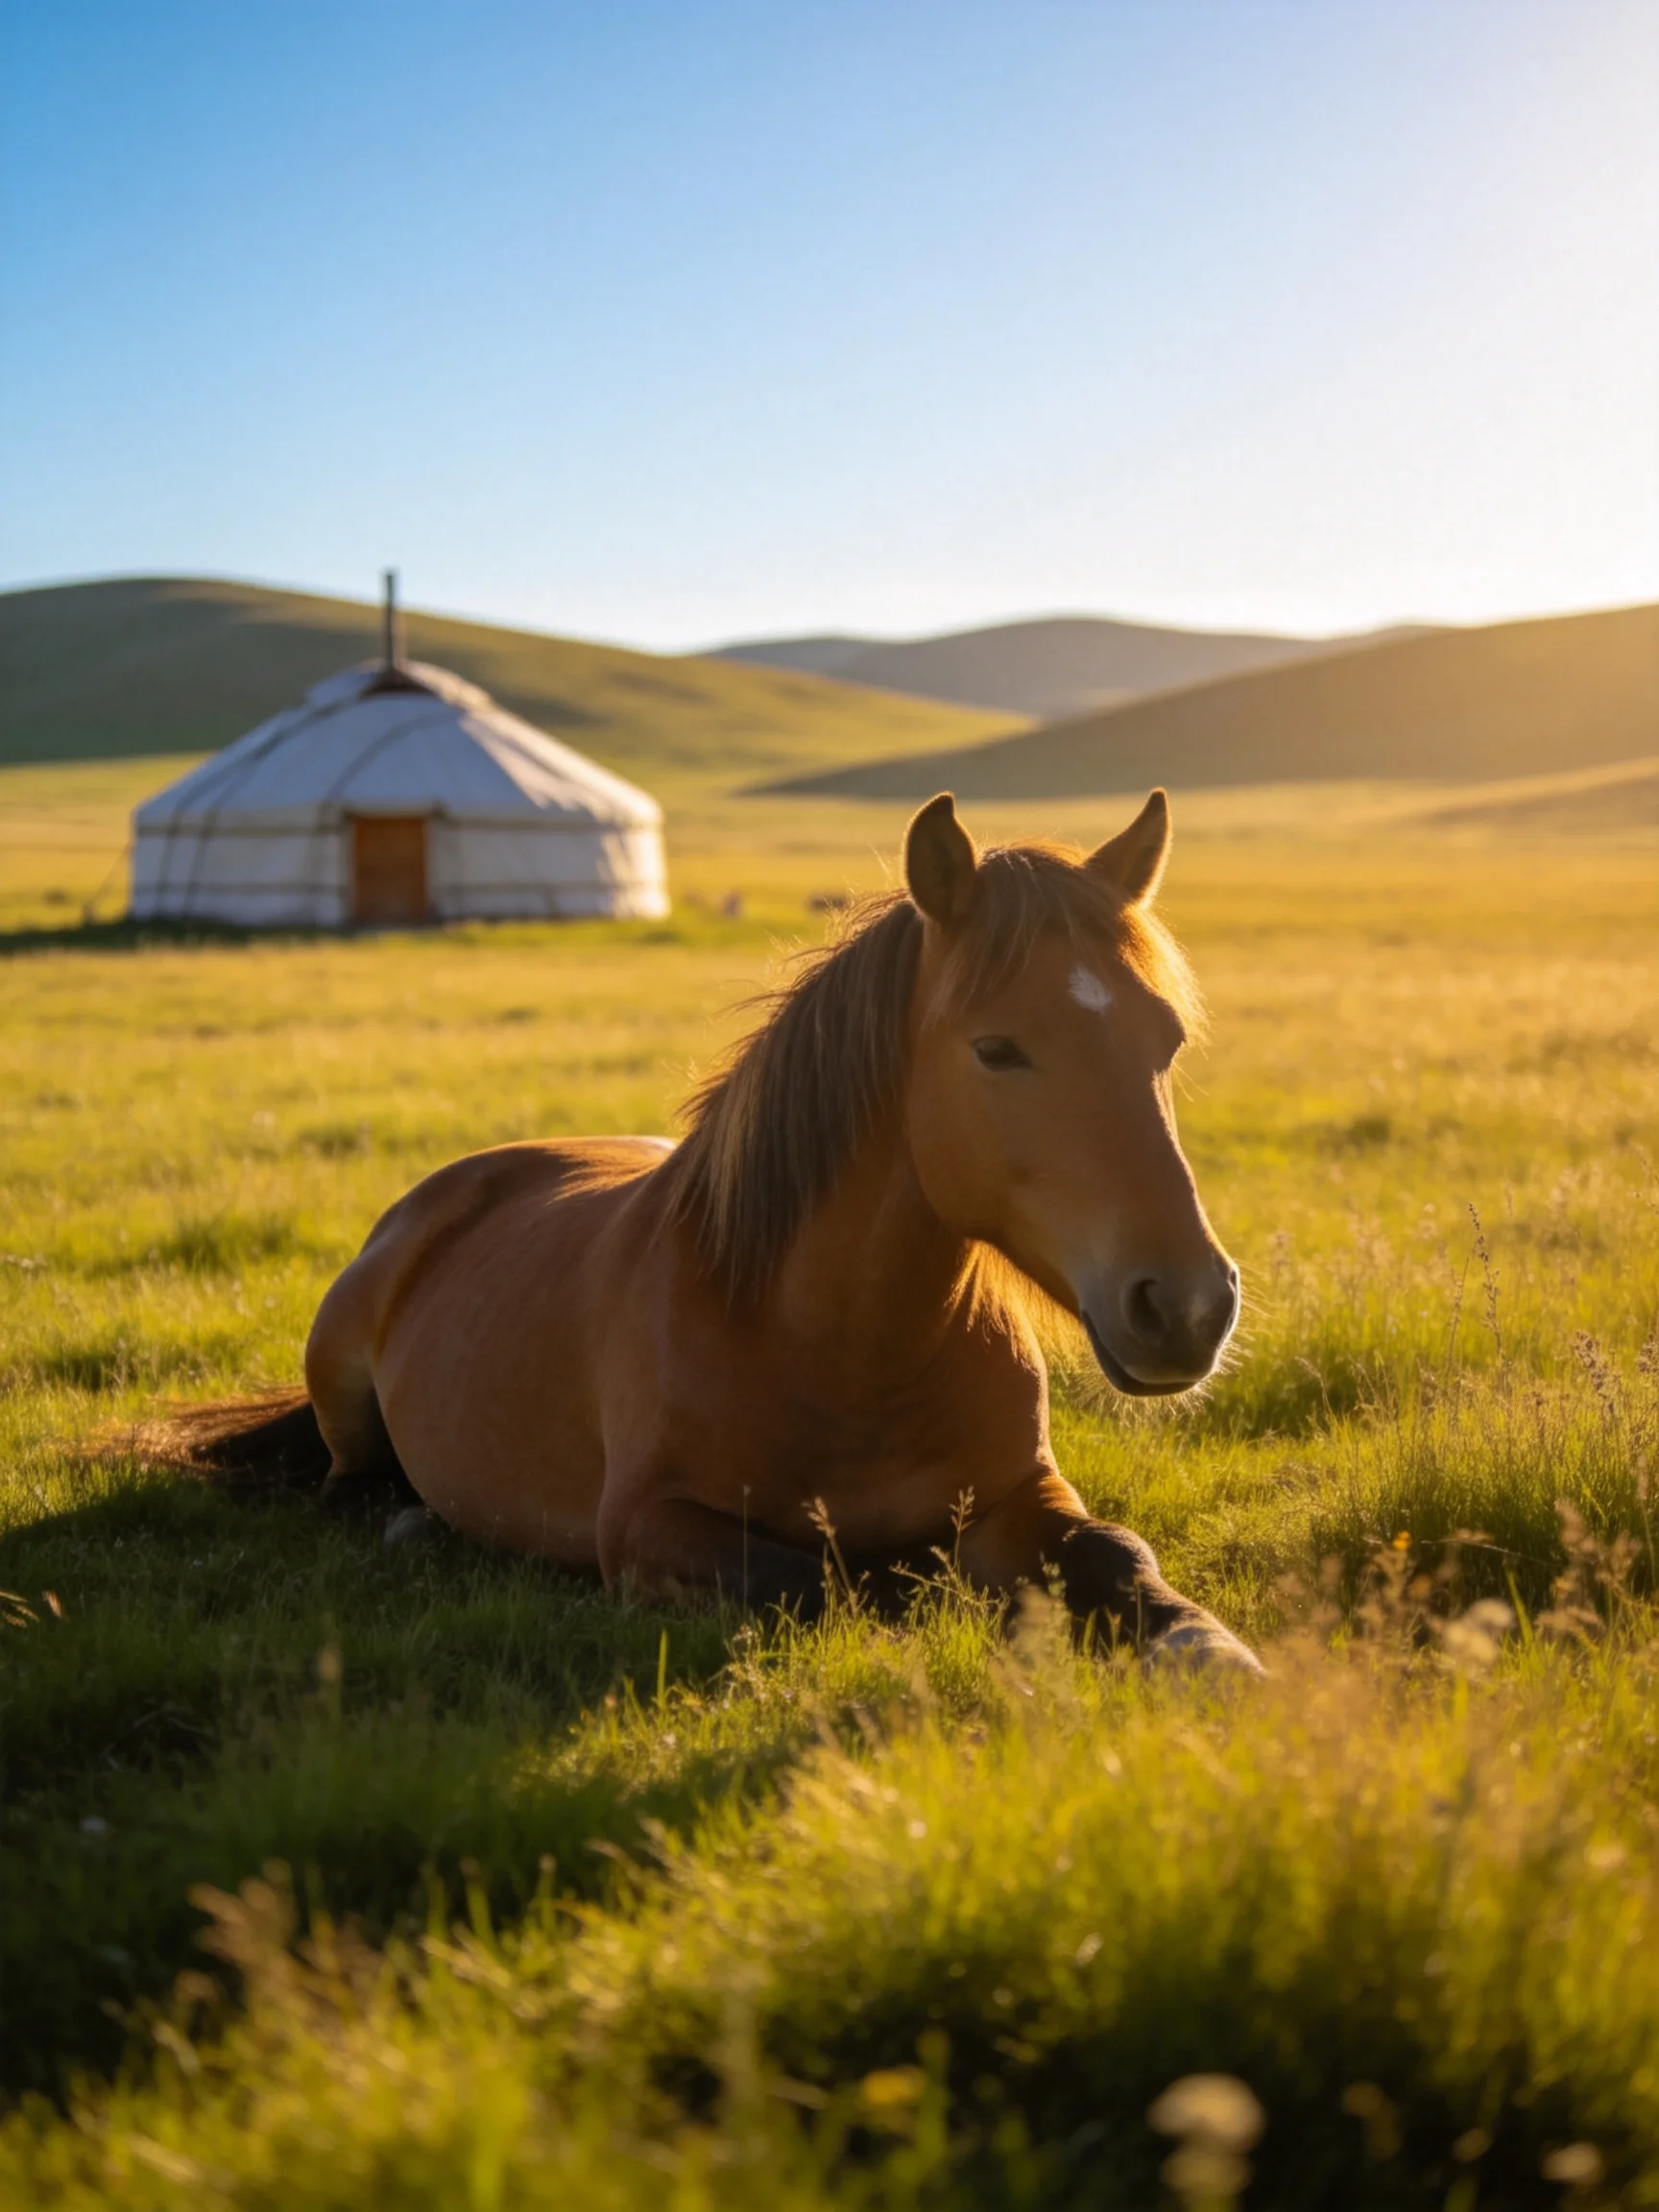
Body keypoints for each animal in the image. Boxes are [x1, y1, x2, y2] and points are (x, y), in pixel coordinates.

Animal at [150, 789, 1259, 1671]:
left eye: (1166, 1040)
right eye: (997, 1049)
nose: (1188, 1305)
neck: (837, 1347)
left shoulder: (1023, 1496)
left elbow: (1117, 1554)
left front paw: (1213, 1656)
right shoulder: (651, 1527)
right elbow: (832, 1584)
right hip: (339, 1369)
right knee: (349, 1485)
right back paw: (411, 1524)